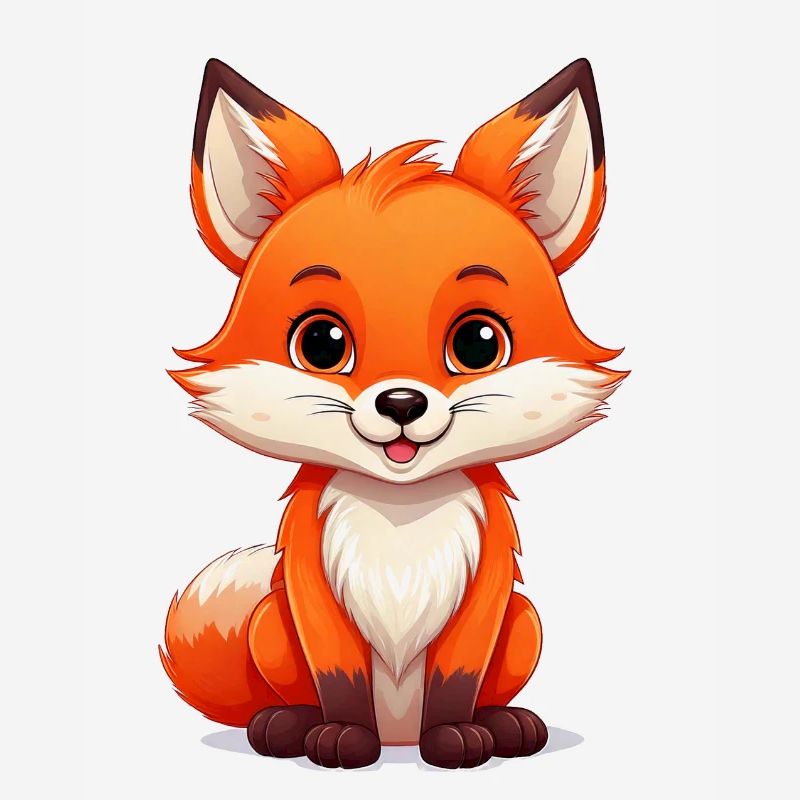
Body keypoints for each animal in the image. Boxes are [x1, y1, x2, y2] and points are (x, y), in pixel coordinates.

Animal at [160, 57, 627, 770]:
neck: (400, 517)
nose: (401, 402)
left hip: (526, 623)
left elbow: (457, 679)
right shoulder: (311, 589)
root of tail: (399, 733)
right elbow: (341, 679)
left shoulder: (487, 593)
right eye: (322, 342)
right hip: (269, 620)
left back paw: (504, 724)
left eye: (478, 342)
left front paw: (459, 737)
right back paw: (289, 725)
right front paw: (341, 739)